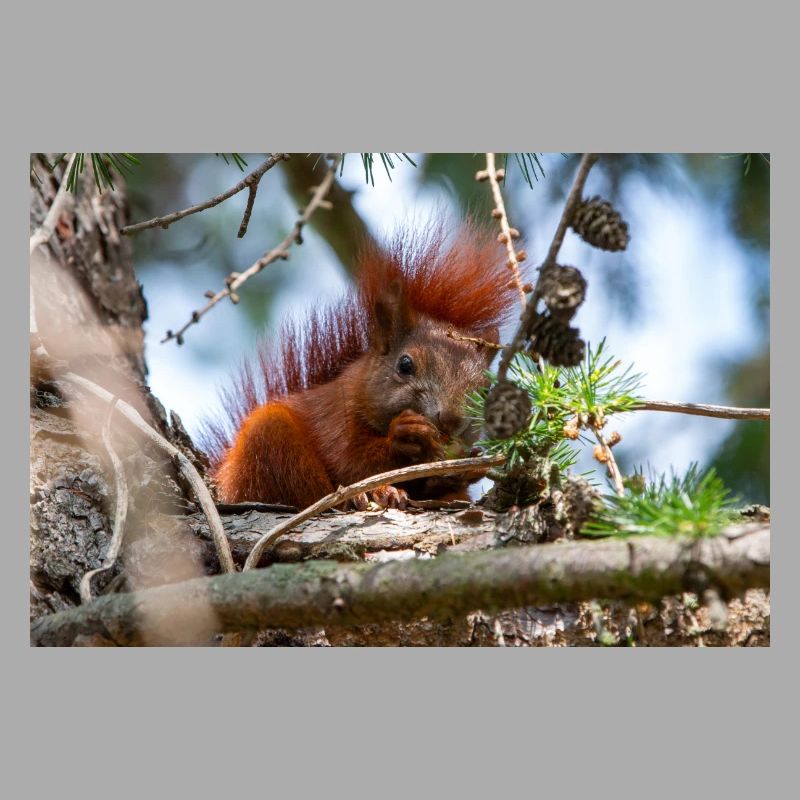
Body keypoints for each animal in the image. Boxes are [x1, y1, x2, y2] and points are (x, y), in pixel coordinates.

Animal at [202, 221, 521, 510]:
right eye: (405, 365)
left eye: (485, 389)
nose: (452, 419)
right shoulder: (334, 418)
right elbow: (351, 461)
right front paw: (405, 435)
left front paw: (469, 467)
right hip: (268, 442)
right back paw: (368, 495)